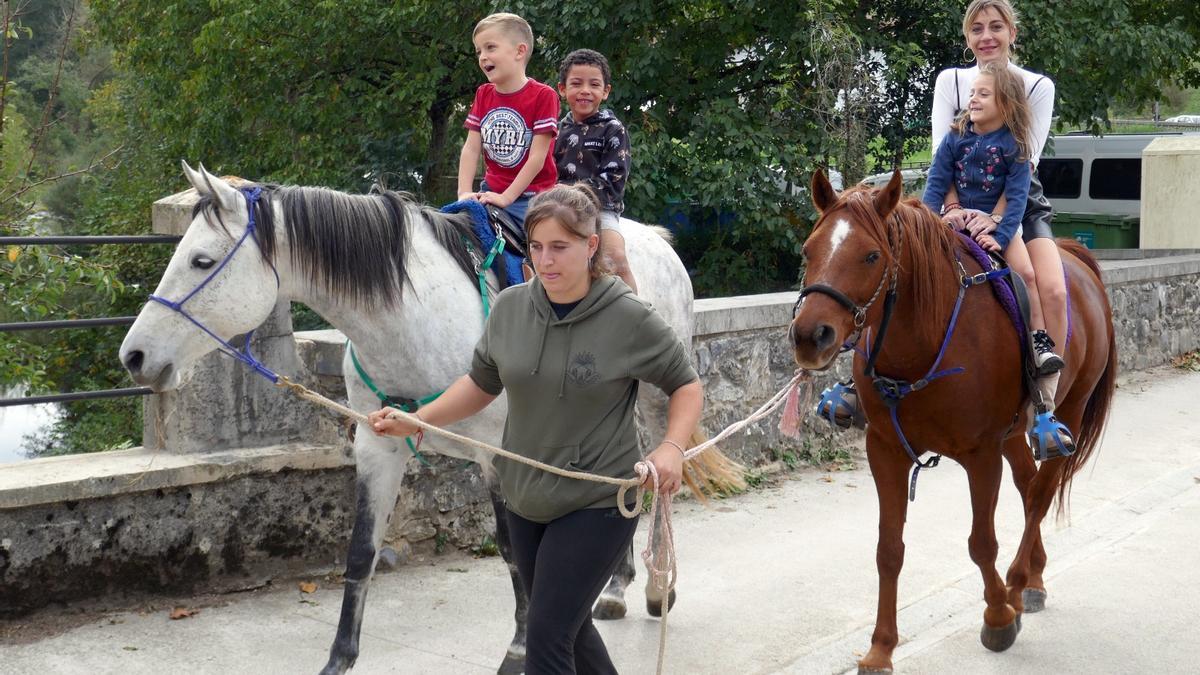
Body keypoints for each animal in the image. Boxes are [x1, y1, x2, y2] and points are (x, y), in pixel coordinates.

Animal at [790, 170, 1116, 673]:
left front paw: (998, 615)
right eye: (808, 250)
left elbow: (982, 543)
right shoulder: (885, 451)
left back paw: (1017, 582)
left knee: (1040, 495)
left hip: (1071, 413)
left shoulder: (980, 456)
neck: (923, 341)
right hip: (1013, 435)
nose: (810, 335)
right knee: (1028, 487)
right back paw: (1033, 580)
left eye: (871, 256)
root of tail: (1075, 258)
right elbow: (889, 550)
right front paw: (881, 647)